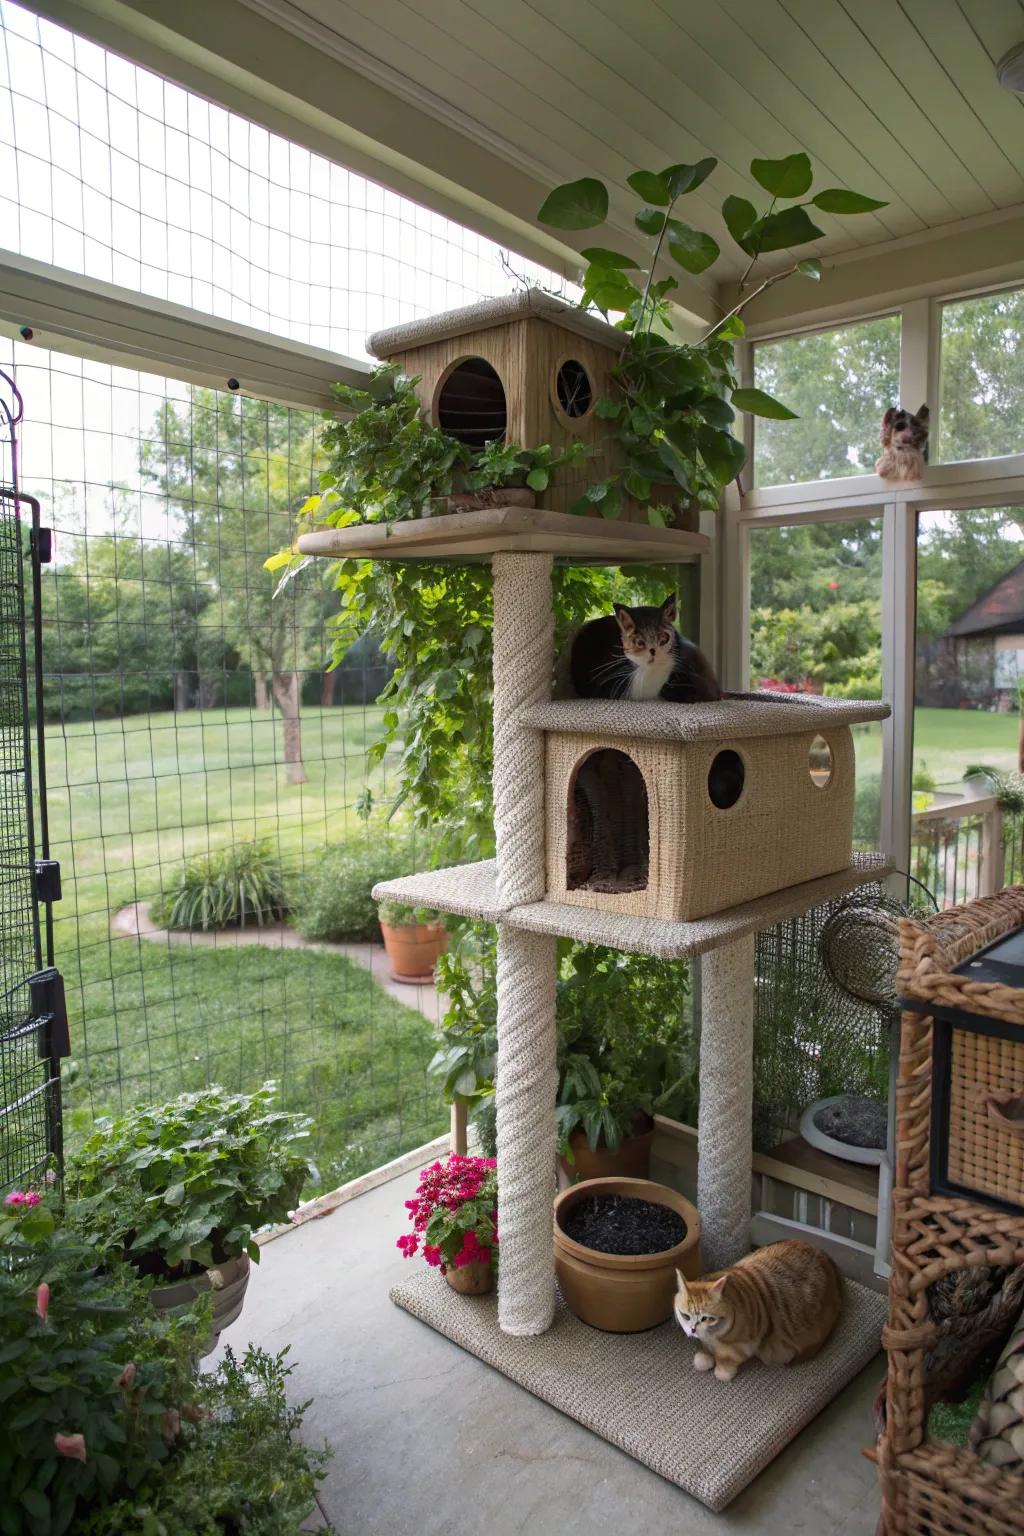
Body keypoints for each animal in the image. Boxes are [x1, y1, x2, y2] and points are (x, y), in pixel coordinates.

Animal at [672, 1241, 841, 1388]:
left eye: (706, 1318)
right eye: (685, 1316)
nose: (692, 1329)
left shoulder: (745, 1344)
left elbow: (726, 1360)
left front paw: (722, 1371)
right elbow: (705, 1349)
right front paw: (704, 1356)